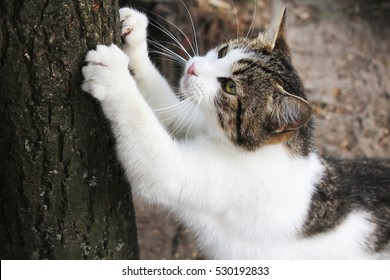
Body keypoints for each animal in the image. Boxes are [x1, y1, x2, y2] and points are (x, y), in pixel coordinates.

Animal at [80, 7, 388, 260]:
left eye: (229, 87)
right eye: (223, 52)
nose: (193, 68)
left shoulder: (188, 176)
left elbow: (149, 140)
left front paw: (113, 75)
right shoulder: (193, 120)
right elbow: (166, 106)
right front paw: (135, 36)